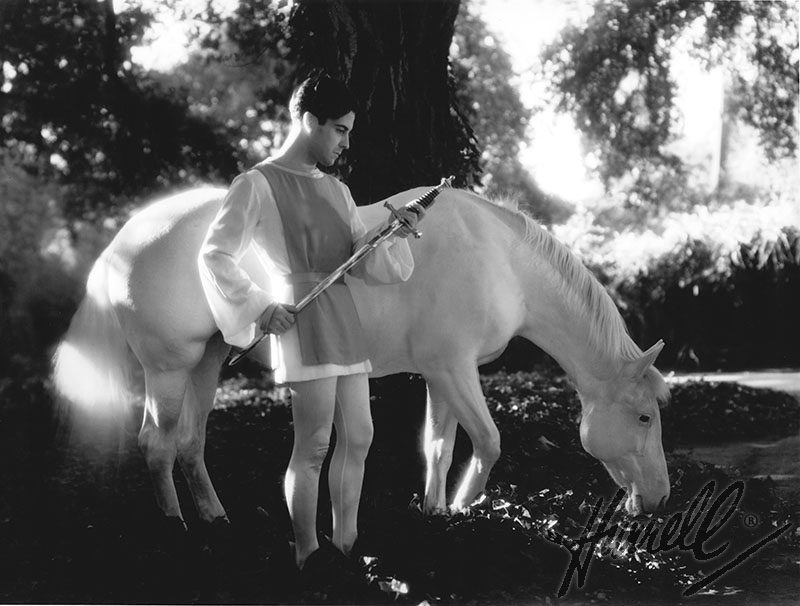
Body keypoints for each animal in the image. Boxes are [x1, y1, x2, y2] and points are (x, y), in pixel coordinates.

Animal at [53, 186, 672, 532]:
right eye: (645, 416)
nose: (661, 498)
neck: (499, 259)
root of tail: (123, 242)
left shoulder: (443, 373)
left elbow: (440, 445)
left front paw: (436, 512)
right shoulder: (454, 370)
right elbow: (489, 441)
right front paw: (465, 505)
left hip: (206, 363)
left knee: (188, 442)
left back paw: (214, 515)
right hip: (168, 370)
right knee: (156, 445)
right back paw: (177, 525)